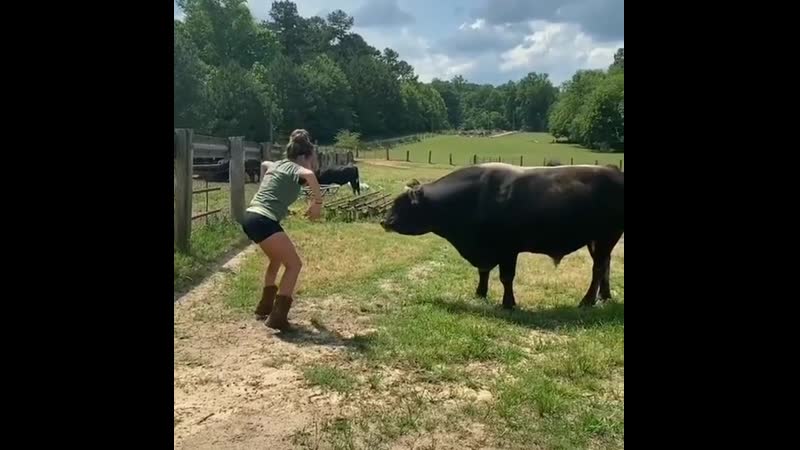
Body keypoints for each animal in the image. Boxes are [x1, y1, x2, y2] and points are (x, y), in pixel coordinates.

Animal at [380, 163, 624, 309]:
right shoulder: (485, 248)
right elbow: (483, 271)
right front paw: (480, 293)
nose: (384, 221)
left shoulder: (508, 249)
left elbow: (506, 277)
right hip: (596, 241)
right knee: (605, 265)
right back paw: (604, 296)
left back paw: (587, 300)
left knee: (598, 268)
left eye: (402, 204)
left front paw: (508, 303)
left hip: (606, 236)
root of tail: (612, 169)